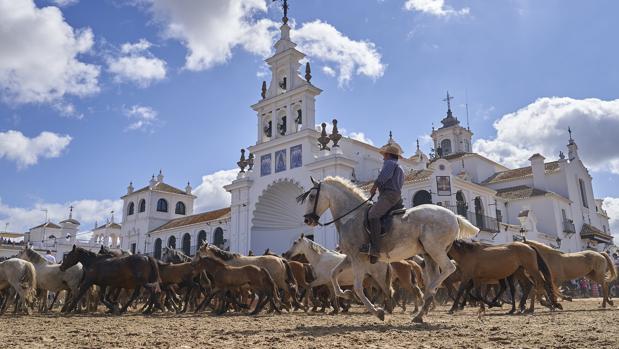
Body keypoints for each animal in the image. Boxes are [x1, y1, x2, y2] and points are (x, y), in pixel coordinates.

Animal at [300, 175, 480, 322]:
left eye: (312, 196)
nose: (308, 220)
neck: (352, 217)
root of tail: (454, 216)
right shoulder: (350, 257)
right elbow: (333, 274)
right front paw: (346, 294)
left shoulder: (358, 258)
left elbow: (358, 287)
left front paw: (377, 312)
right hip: (429, 254)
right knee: (435, 276)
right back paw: (420, 313)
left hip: (435, 249)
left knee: (448, 268)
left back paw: (428, 293)